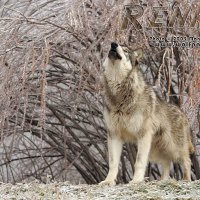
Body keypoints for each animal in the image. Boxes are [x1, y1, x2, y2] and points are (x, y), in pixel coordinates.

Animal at [99, 42, 194, 186]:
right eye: (110, 48)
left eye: (125, 50)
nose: (113, 44)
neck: (120, 96)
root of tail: (183, 115)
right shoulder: (114, 135)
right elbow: (113, 163)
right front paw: (108, 181)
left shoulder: (143, 135)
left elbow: (139, 162)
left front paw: (136, 181)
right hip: (156, 151)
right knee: (167, 163)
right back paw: (162, 181)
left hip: (173, 147)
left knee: (187, 161)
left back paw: (186, 180)